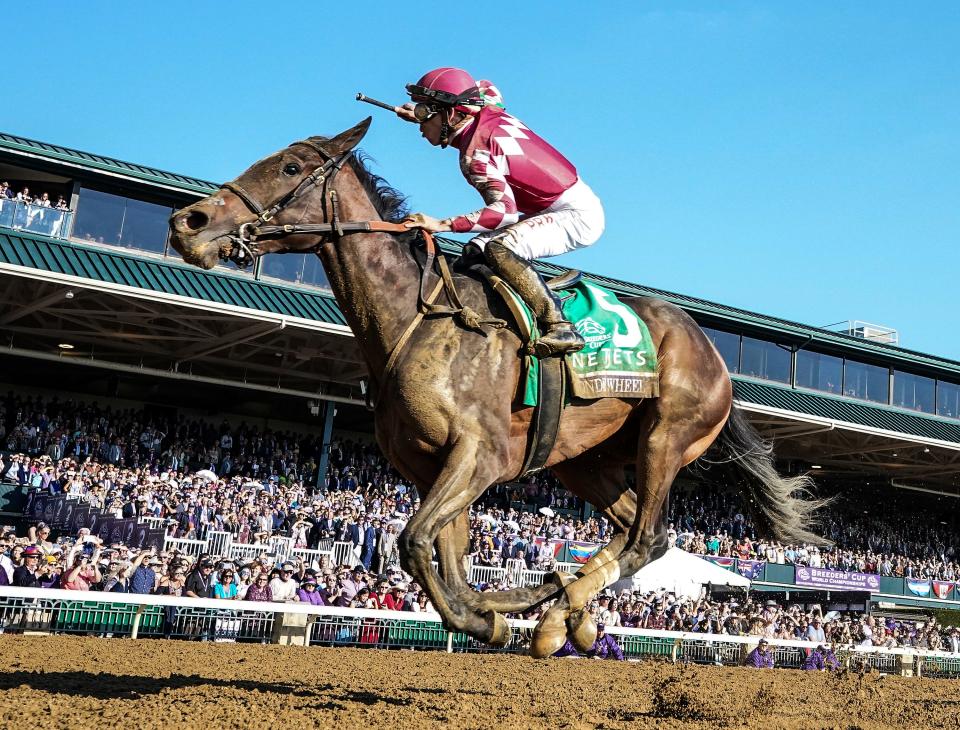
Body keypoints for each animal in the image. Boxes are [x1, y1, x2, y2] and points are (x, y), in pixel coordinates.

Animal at [171, 118, 824, 656]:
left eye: (288, 167)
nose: (187, 223)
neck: (418, 319)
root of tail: (711, 351)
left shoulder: (479, 456)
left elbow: (415, 542)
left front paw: (491, 617)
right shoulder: (430, 467)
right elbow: (449, 558)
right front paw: (493, 609)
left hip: (666, 436)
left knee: (648, 535)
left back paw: (560, 608)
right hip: (583, 461)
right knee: (637, 533)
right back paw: (568, 611)